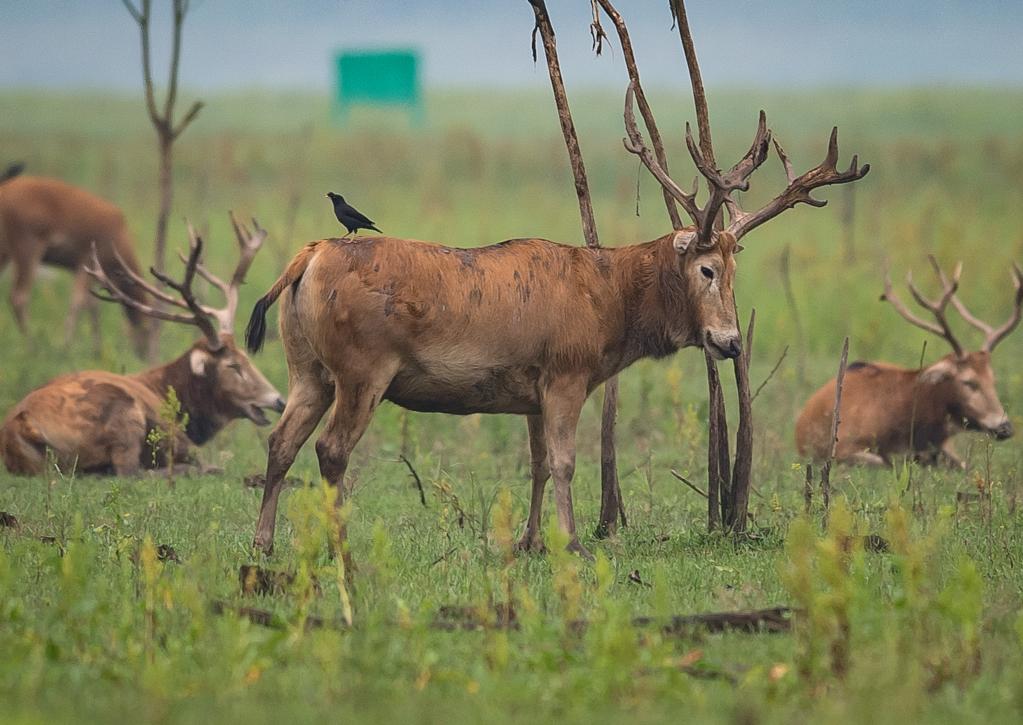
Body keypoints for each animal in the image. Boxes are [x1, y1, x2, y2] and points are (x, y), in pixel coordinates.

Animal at [0, 174, 151, 355]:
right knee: (19, 297)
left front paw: (97, 349)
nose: (145, 355)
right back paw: (32, 347)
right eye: (150, 330)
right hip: (28, 242)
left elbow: (92, 305)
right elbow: (78, 302)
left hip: (7, 249)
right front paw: (66, 346)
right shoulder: (86, 261)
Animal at [0, 213, 284, 474]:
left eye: (247, 358)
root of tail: (23, 425)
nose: (279, 400)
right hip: (125, 413)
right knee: (131, 471)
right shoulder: (178, 438)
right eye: (234, 365)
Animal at [243, 80, 867, 556]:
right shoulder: (567, 371)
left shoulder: (530, 388)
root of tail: (307, 258)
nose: (731, 341)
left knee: (280, 441)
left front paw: (530, 542)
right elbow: (566, 462)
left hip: (307, 368)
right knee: (331, 450)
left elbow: (539, 463)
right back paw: (336, 545)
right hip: (362, 367)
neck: (607, 308)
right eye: (708, 268)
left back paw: (263, 542)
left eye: (737, 271)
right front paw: (573, 543)